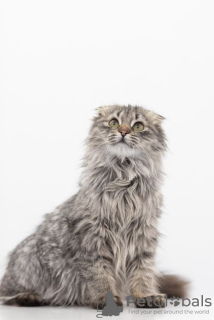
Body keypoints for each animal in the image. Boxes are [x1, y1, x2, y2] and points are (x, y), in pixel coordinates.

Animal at [0, 105, 187, 308]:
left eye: (138, 126)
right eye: (113, 123)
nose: (123, 131)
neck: (123, 183)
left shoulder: (143, 238)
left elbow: (143, 273)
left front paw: (146, 296)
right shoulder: (92, 240)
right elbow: (100, 275)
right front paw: (106, 299)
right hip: (28, 261)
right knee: (5, 294)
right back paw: (29, 297)